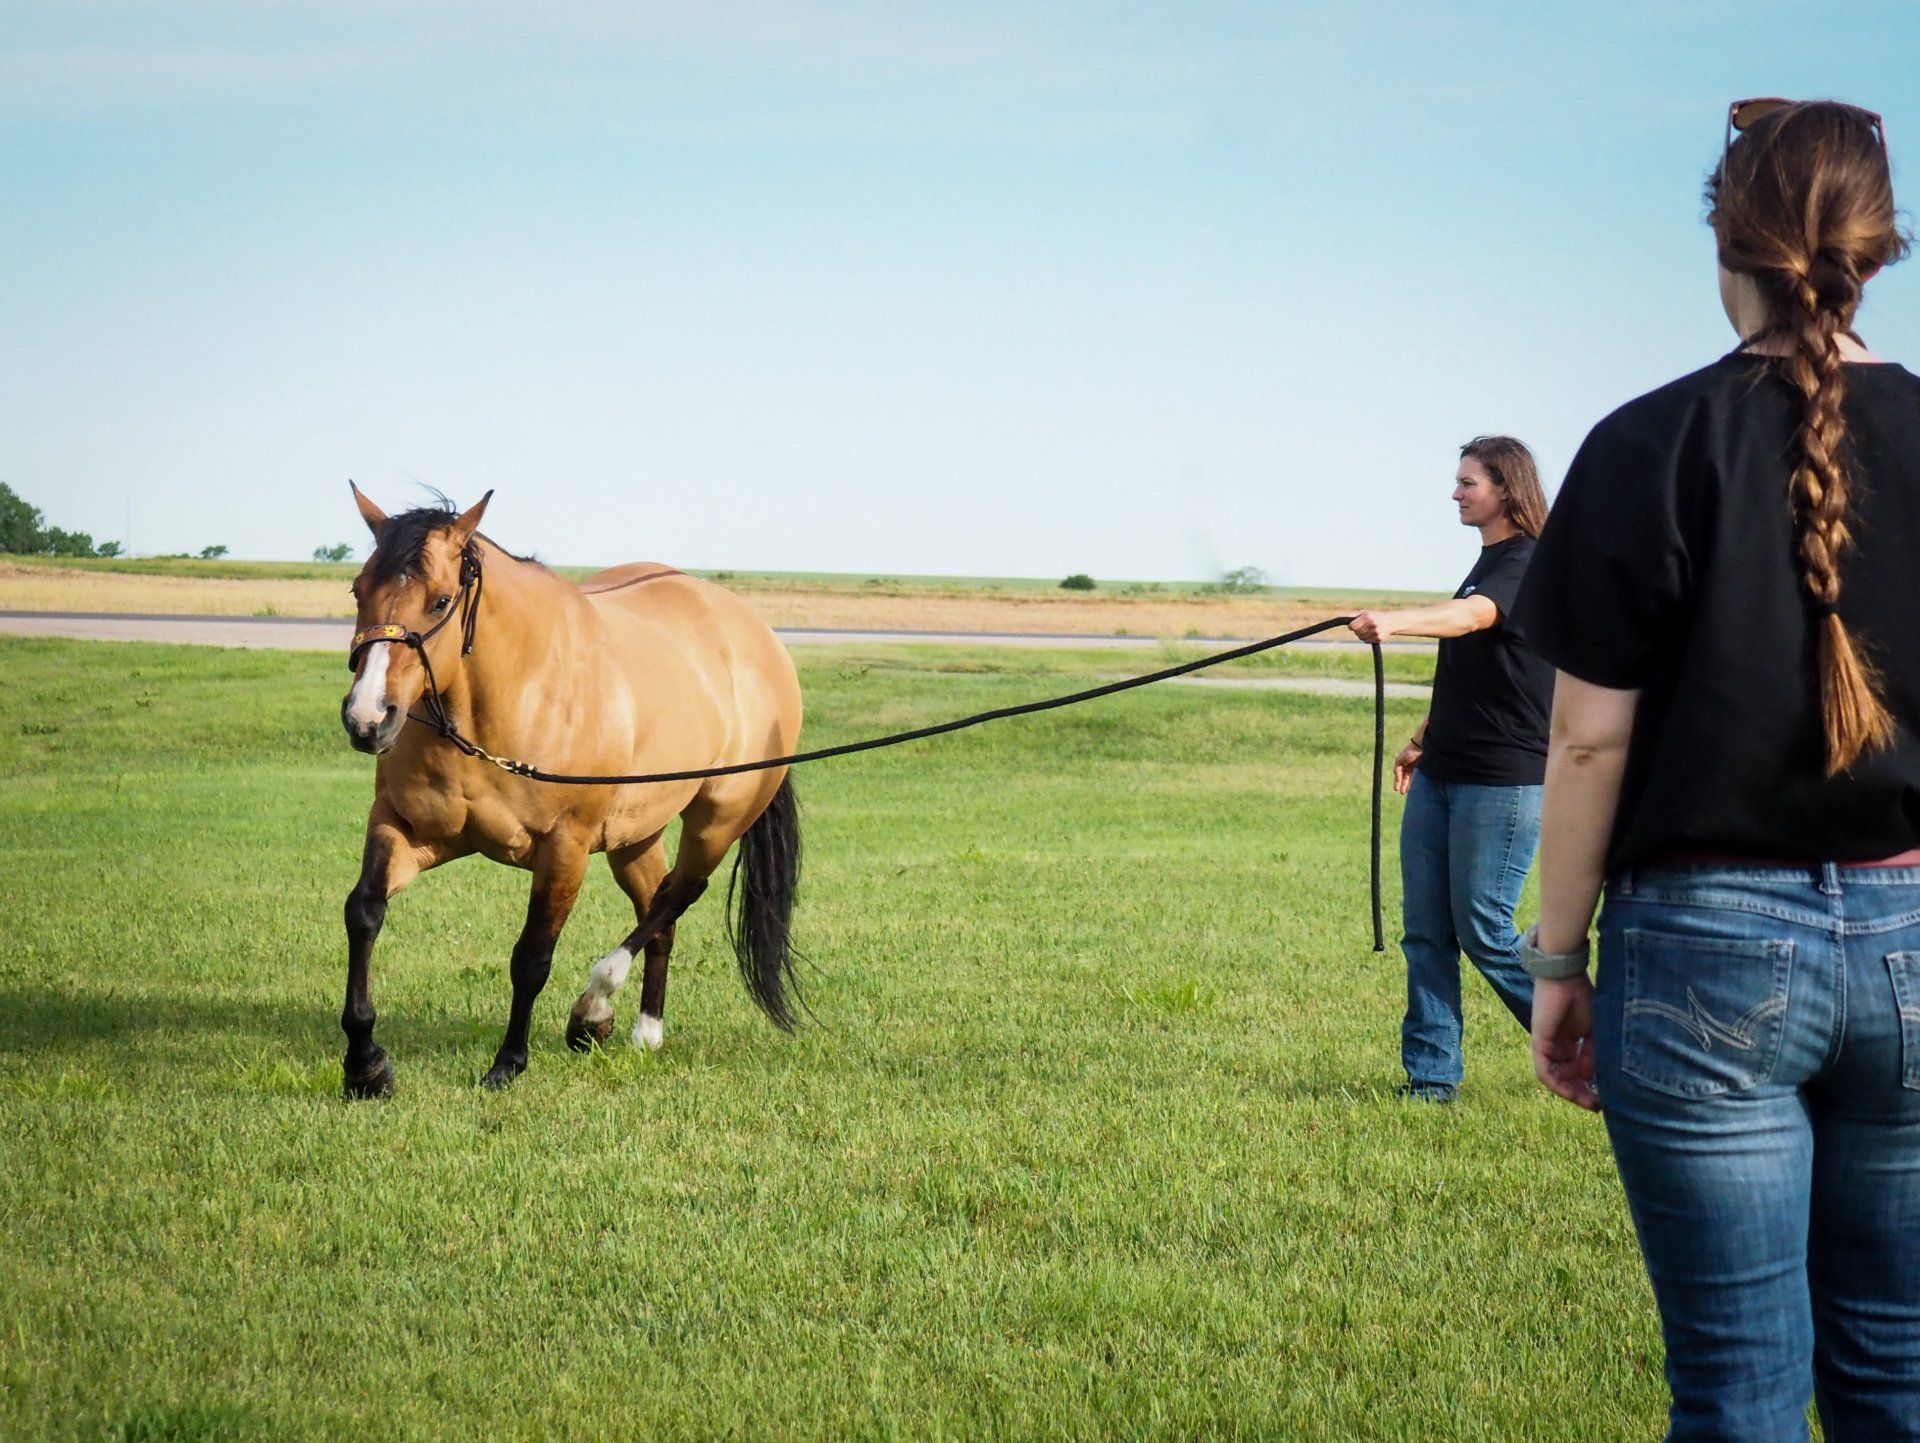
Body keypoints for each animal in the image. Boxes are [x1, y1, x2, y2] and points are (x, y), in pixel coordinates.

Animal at [336, 484, 804, 1097]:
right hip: (635, 835)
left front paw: (508, 1062)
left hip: (718, 819)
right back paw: (644, 1028)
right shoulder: (403, 826)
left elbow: (532, 956)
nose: (367, 719)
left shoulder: (565, 849)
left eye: (439, 602)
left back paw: (595, 1011)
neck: (511, 699)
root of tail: (759, 638)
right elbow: (364, 913)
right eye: (358, 589)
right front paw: (365, 1062)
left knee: (678, 895)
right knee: (660, 910)